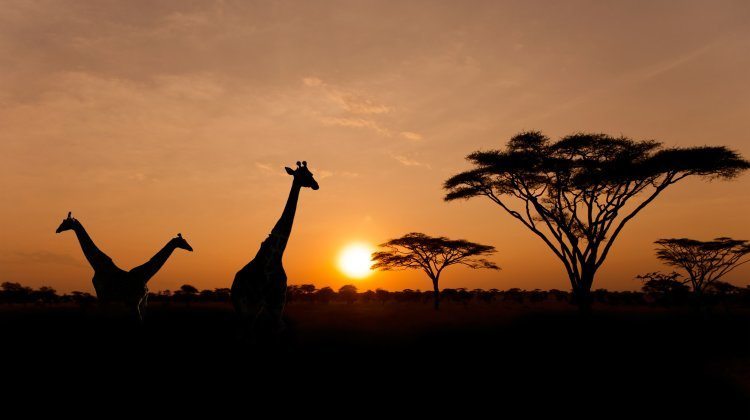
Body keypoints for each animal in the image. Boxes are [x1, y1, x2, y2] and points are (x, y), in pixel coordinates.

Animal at [56, 212, 193, 321]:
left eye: (65, 222)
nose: (57, 230)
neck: (98, 265)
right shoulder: (108, 298)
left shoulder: (105, 296)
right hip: (139, 302)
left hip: (134, 302)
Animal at [231, 161, 319, 337]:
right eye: (305, 175)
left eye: (311, 173)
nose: (316, 185)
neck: (276, 255)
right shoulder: (267, 303)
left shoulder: (277, 304)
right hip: (244, 308)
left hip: (251, 310)